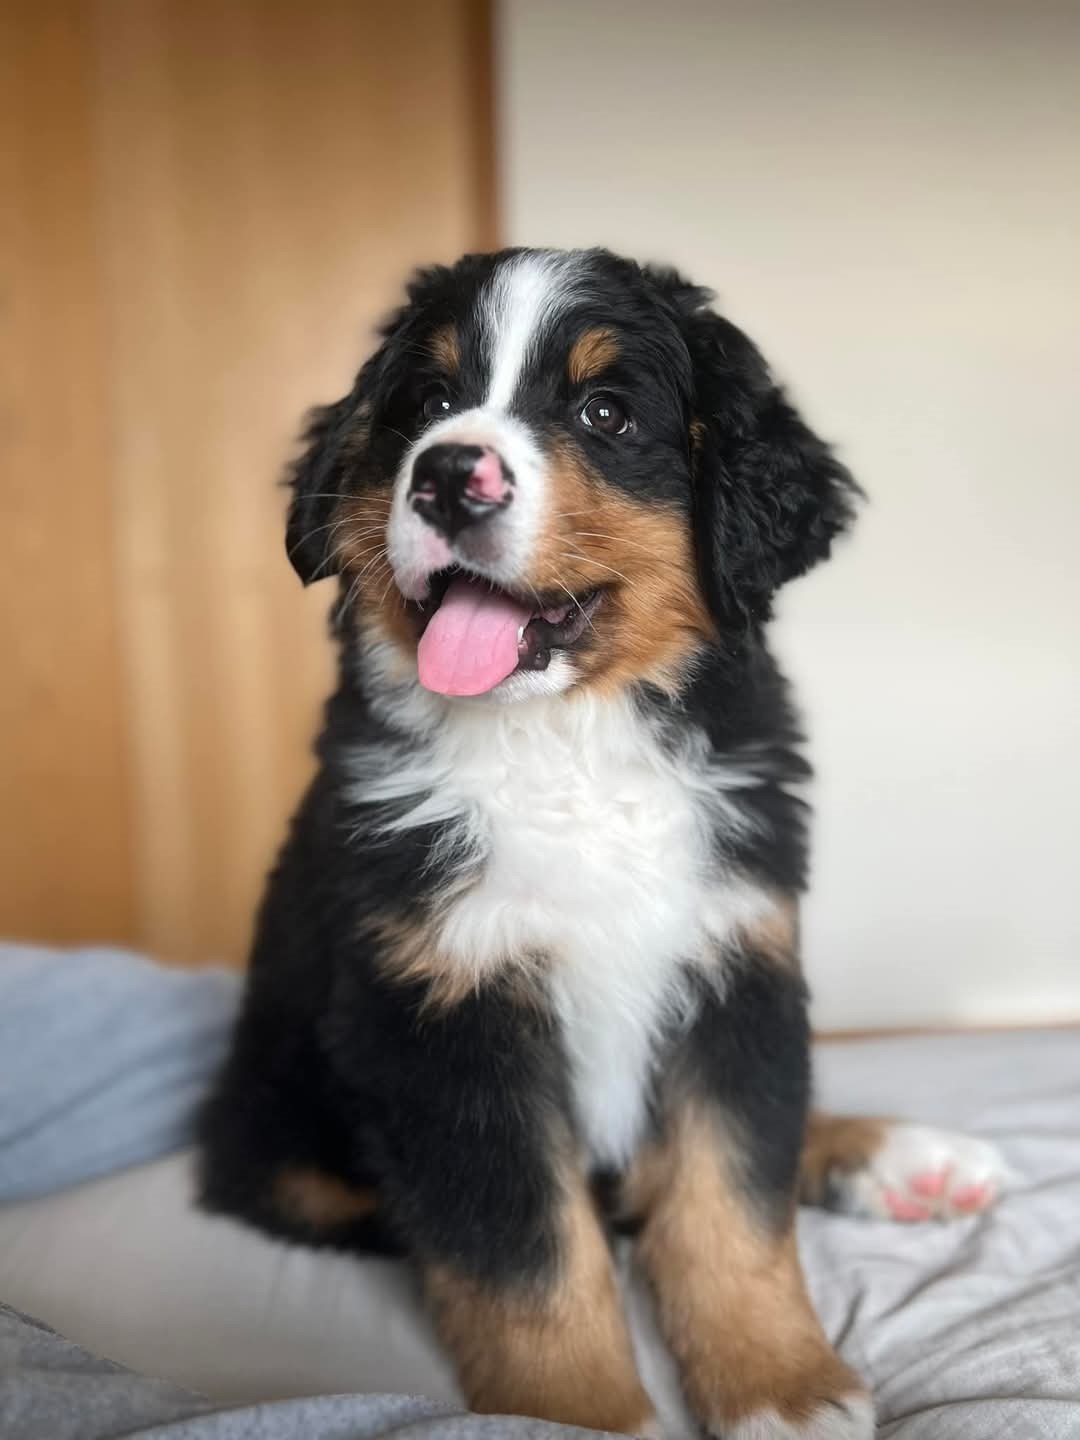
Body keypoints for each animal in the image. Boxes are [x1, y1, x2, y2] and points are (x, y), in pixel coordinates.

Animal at [199, 248, 1008, 1437]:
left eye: (606, 412)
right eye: (427, 404)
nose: (447, 476)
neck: (568, 748)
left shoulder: (737, 963)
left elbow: (731, 1197)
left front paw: (779, 1381)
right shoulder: (437, 1021)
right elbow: (531, 1257)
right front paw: (577, 1414)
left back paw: (902, 1159)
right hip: (281, 1138)